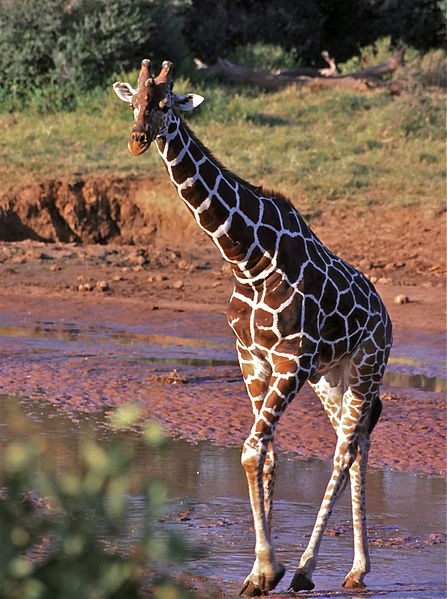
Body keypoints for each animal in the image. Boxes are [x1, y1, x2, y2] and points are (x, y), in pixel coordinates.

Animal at [114, 59, 394, 596]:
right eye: (133, 102)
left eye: (166, 104)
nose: (138, 138)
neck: (246, 258)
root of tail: (387, 317)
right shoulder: (253, 358)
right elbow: (266, 456)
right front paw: (259, 572)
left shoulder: (291, 361)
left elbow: (249, 451)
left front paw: (268, 570)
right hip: (332, 378)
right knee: (356, 444)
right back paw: (355, 569)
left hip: (367, 367)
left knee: (344, 450)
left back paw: (308, 569)